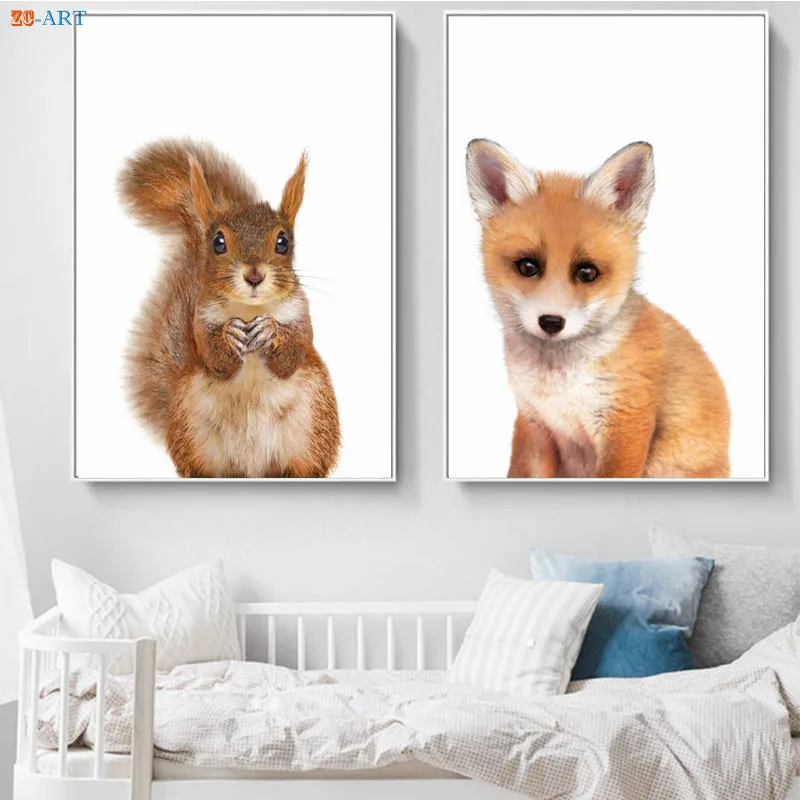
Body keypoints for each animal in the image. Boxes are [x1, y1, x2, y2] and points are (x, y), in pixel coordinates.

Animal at [118, 139, 341, 478]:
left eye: (283, 242)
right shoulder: (200, 320)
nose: (254, 276)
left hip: (311, 431)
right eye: (218, 242)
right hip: (194, 434)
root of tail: (251, 470)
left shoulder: (301, 316)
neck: (249, 308)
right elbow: (215, 358)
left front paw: (270, 330)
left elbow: (290, 357)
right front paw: (229, 335)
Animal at [465, 139, 730, 479]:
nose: (551, 322)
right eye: (528, 267)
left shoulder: (625, 425)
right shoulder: (533, 423)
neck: (558, 384)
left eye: (587, 272)